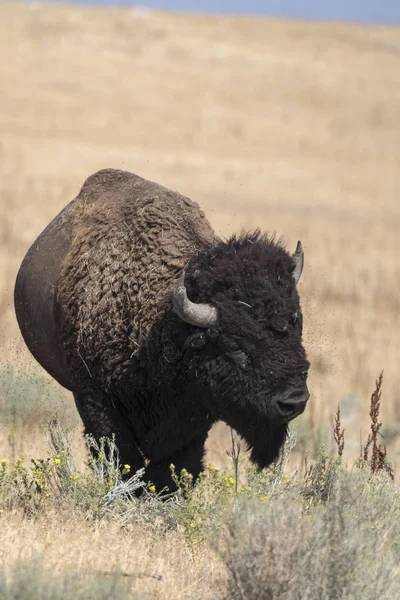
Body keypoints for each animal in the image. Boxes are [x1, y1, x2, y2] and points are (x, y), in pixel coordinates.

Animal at [14, 169, 310, 492]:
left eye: (296, 325)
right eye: (235, 345)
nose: (294, 401)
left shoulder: (192, 418)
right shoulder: (95, 399)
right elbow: (121, 457)